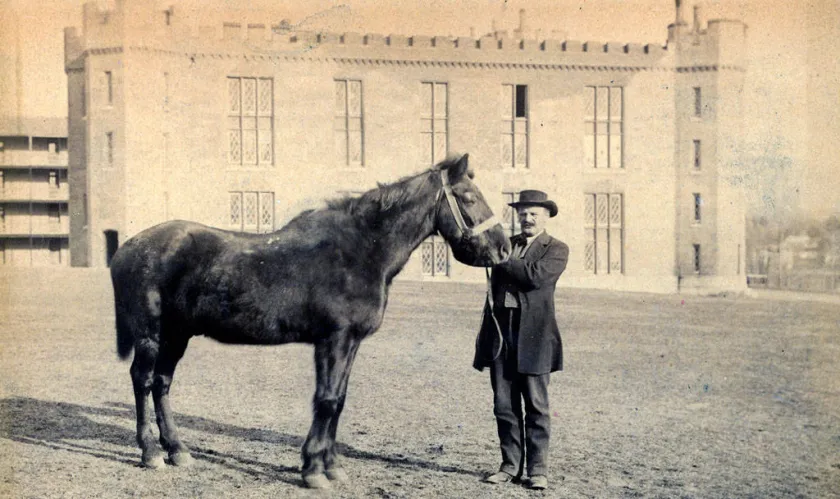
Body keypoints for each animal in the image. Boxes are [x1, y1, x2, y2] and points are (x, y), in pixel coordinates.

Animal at [109, 154, 511, 488]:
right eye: (469, 198)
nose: (504, 249)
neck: (359, 251)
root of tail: (127, 247)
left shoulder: (351, 343)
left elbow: (340, 400)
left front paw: (331, 466)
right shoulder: (334, 340)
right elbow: (327, 400)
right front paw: (315, 470)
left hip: (177, 335)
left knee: (162, 384)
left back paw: (178, 450)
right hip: (151, 335)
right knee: (143, 380)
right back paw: (151, 453)